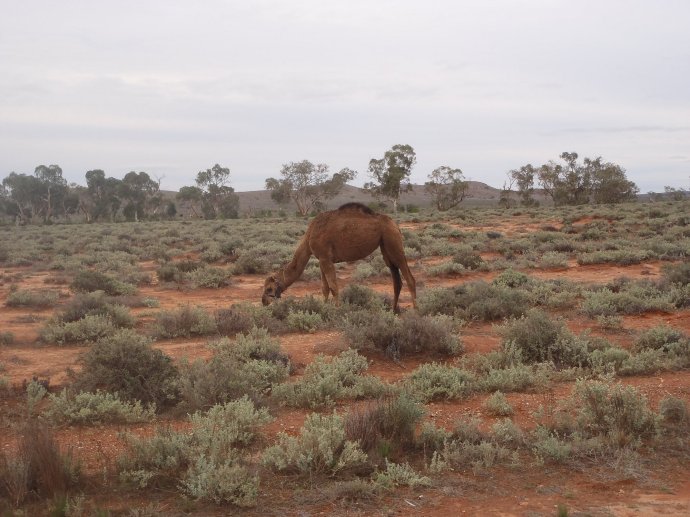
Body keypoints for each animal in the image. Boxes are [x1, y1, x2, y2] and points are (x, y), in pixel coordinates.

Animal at [262, 203, 416, 313]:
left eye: (269, 289)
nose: (264, 302)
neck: (309, 236)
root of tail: (395, 224)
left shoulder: (325, 259)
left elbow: (333, 286)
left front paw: (337, 310)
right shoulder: (322, 260)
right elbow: (324, 288)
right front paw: (323, 308)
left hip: (393, 242)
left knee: (409, 278)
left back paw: (416, 310)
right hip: (385, 245)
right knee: (396, 279)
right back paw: (393, 311)